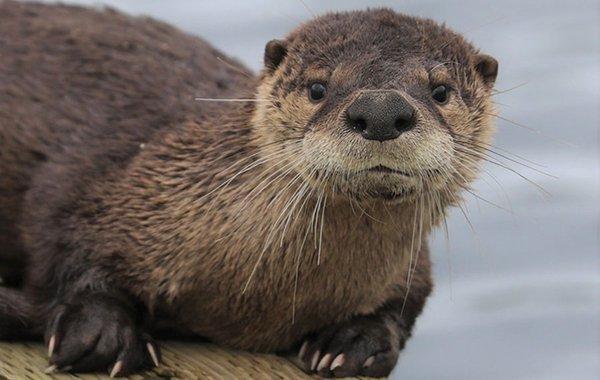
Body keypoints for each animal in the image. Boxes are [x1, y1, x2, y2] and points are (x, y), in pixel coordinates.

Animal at [0, 1, 496, 378]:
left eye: (440, 91)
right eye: (318, 87)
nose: (380, 110)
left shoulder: (412, 267)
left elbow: (404, 304)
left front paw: (355, 340)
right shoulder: (101, 182)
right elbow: (64, 236)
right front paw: (102, 332)